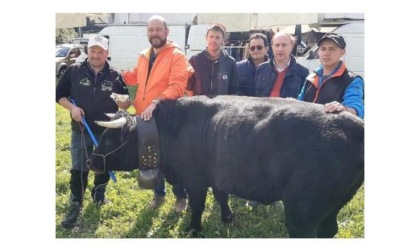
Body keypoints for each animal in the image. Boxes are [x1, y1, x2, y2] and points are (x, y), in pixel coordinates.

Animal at [87, 95, 362, 238]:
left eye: (109, 138)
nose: (90, 161)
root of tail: (353, 124)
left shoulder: (195, 179)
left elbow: (198, 206)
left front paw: (194, 229)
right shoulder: (218, 174)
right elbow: (221, 195)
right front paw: (227, 217)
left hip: (302, 212)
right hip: (333, 206)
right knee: (329, 229)